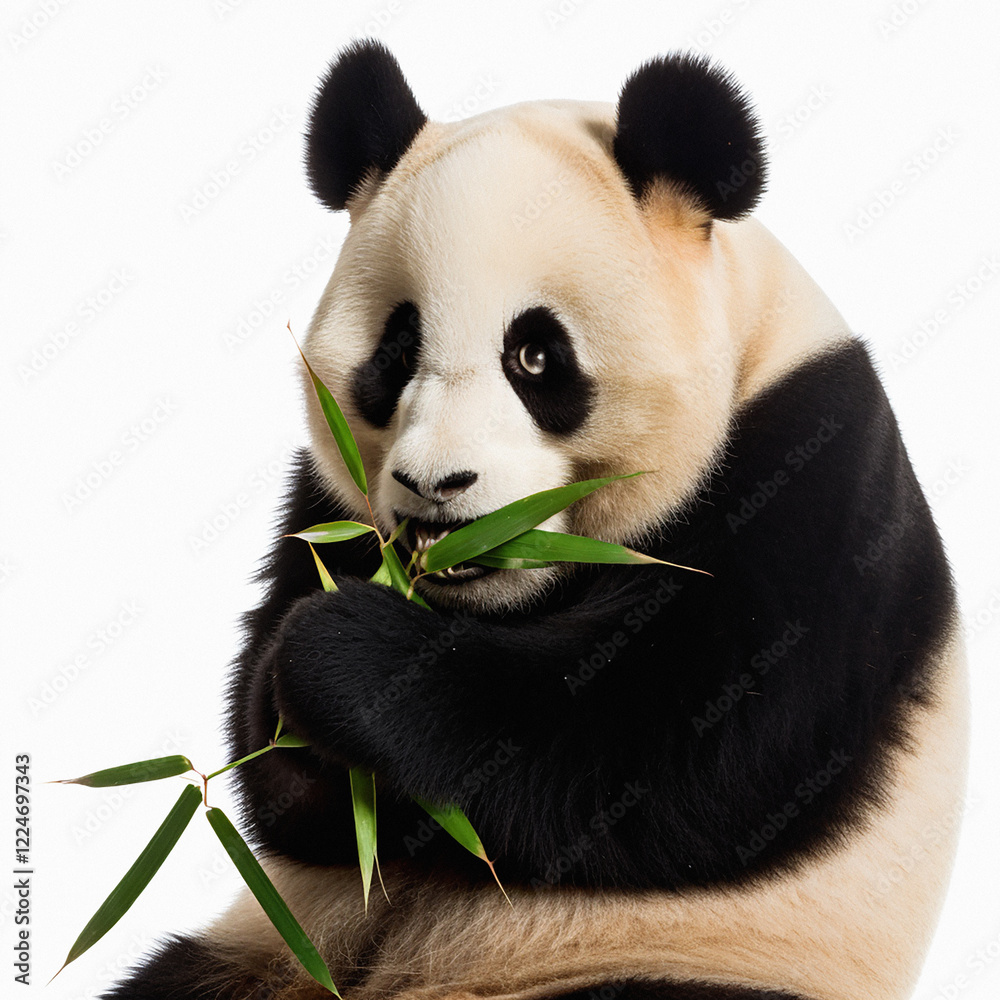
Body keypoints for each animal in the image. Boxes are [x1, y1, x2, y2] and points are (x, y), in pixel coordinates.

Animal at [108, 40, 967, 1000]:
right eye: (396, 351)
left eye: (535, 356)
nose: (435, 486)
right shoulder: (331, 503)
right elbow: (317, 812)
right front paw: (296, 704)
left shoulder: (817, 477)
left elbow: (671, 744)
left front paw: (342, 657)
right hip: (271, 947)